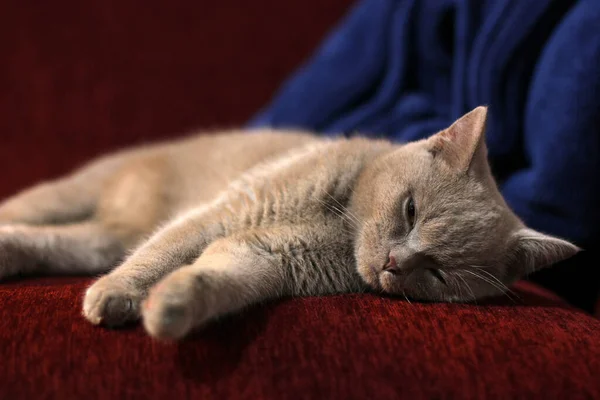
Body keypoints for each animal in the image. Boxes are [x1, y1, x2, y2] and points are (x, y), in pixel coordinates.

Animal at [0, 106, 580, 338]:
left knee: (65, 244)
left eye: (438, 273)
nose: (395, 263)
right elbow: (159, 254)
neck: (340, 226)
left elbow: (212, 279)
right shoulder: (226, 212)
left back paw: (10, 253)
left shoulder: (262, 254)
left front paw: (169, 309)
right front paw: (117, 295)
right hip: (69, 192)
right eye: (410, 210)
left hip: (105, 233)